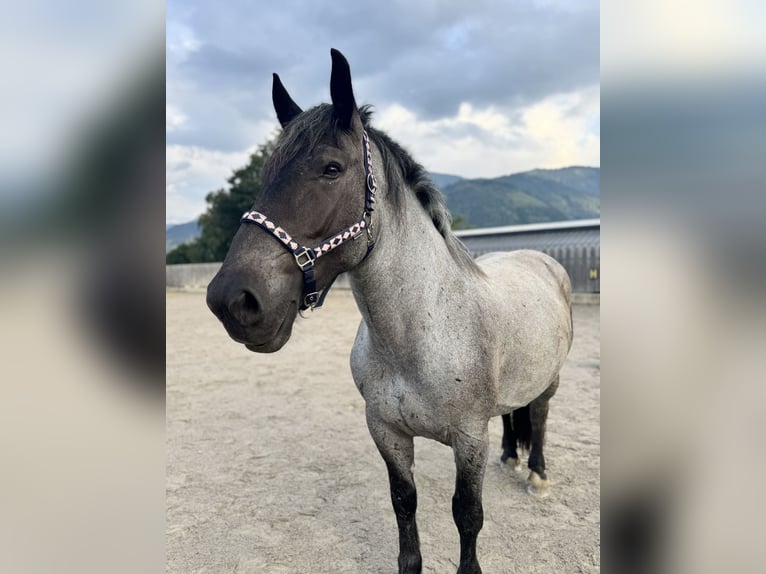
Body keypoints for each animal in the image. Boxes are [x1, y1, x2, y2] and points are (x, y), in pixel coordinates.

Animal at [206, 49, 573, 574]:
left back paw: (537, 474)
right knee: (513, 416)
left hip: (550, 382)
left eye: (332, 168)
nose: (232, 300)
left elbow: (468, 514)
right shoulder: (386, 432)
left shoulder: (469, 439)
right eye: (263, 175)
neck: (420, 335)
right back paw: (510, 458)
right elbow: (404, 502)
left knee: (538, 418)